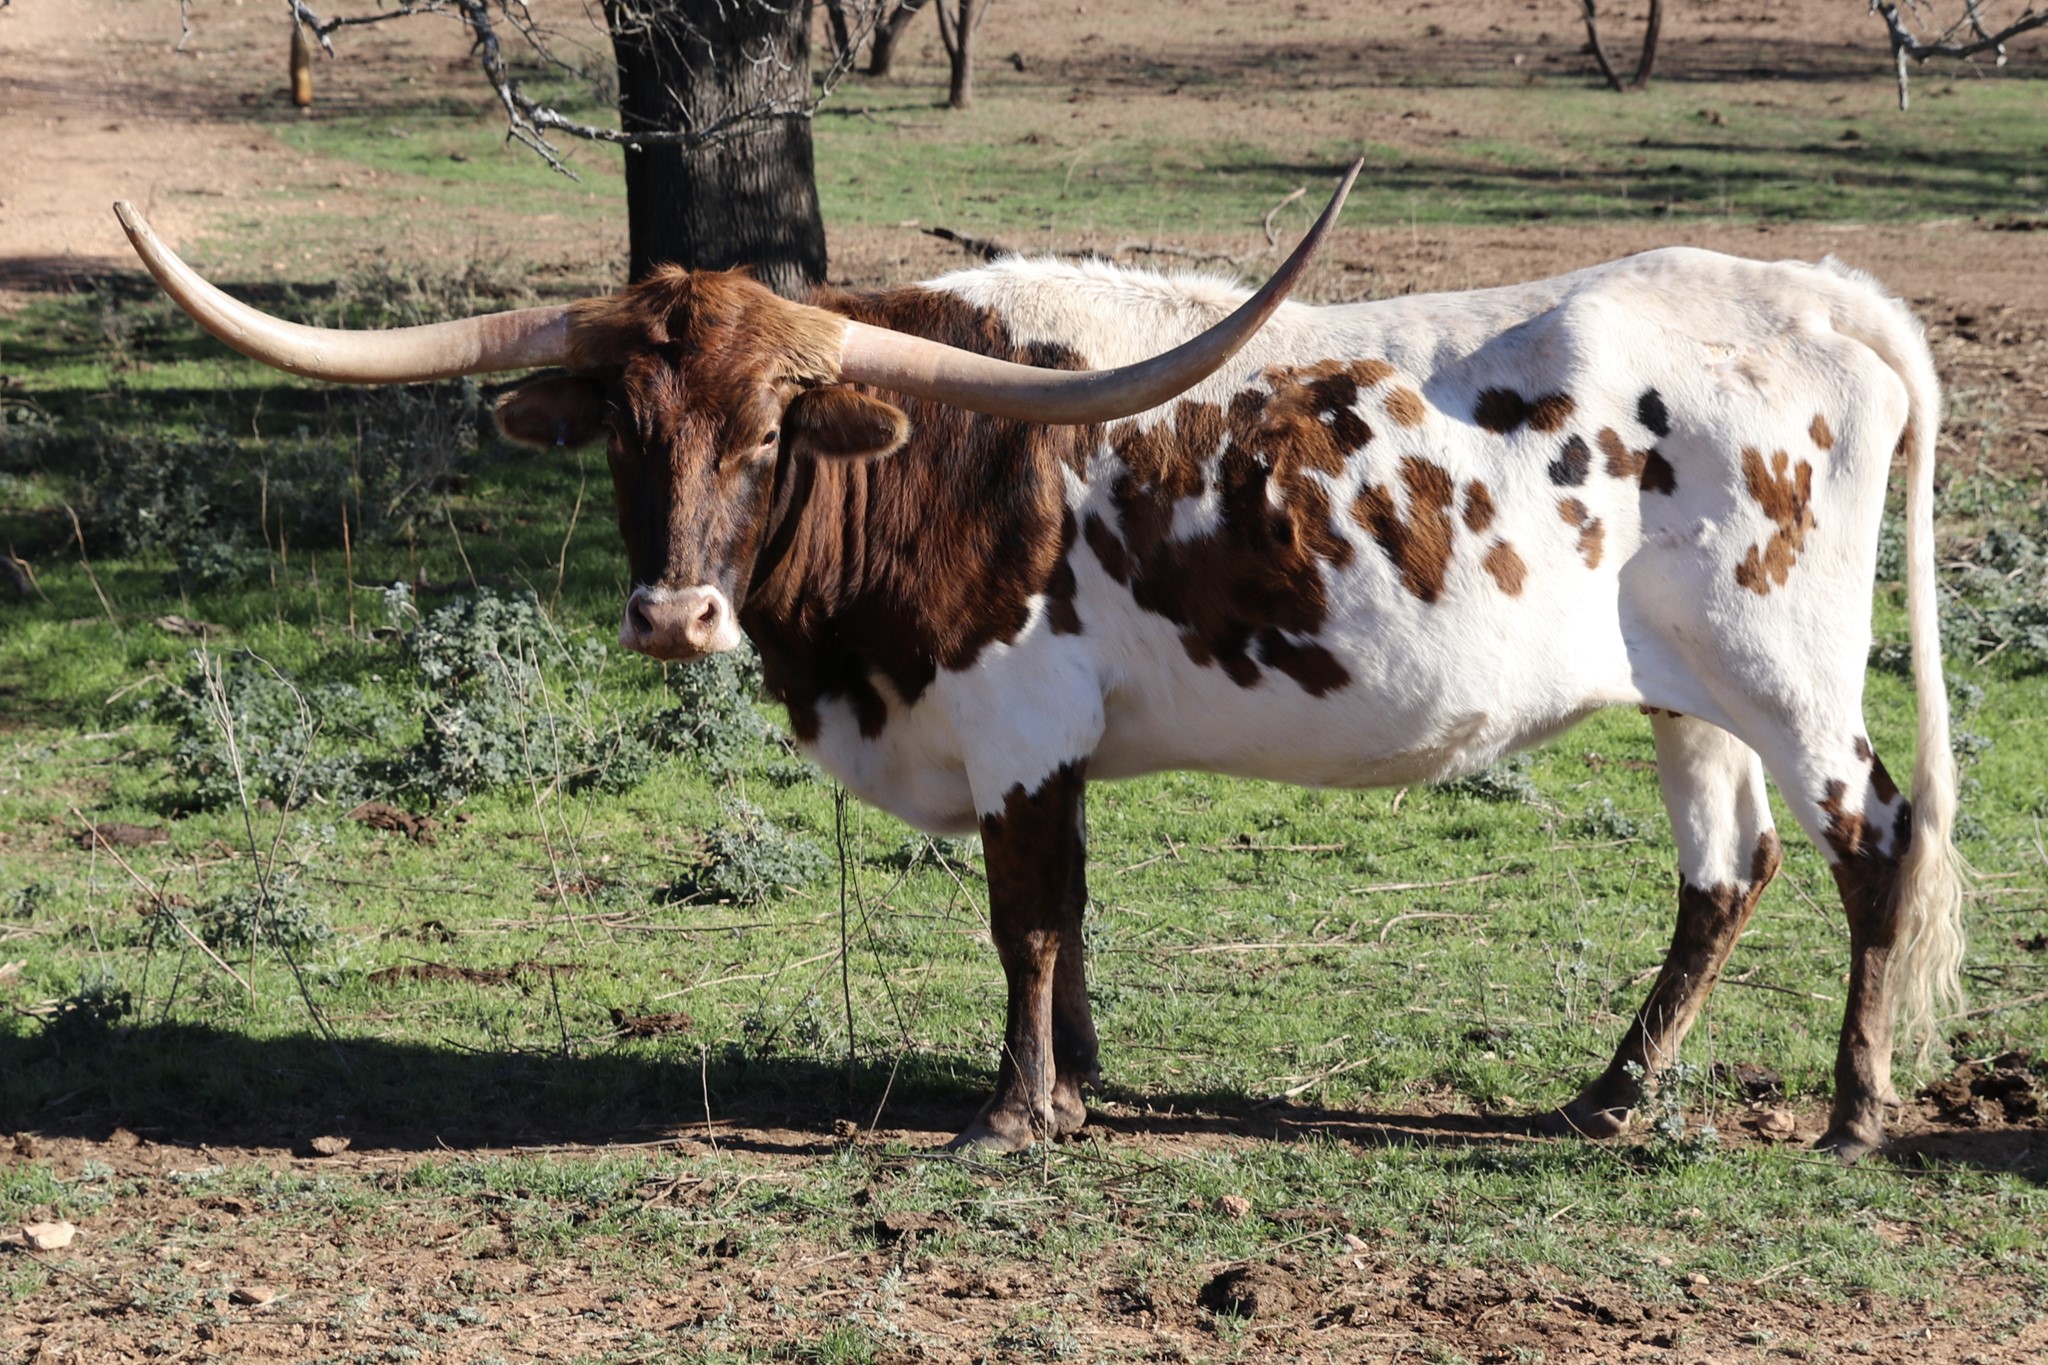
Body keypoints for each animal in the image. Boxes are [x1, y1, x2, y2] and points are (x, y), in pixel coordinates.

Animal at [115, 171, 1962, 1165]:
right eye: (628, 434)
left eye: (772, 429)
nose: (672, 617)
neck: (931, 454)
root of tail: (1822, 294)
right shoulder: (1047, 745)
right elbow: (1065, 915)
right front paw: (1079, 1084)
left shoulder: (1009, 720)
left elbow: (1022, 915)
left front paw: (1014, 1116)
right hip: (1686, 696)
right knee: (1724, 872)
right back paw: (1607, 1094)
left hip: (1786, 670)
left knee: (1874, 836)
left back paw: (1854, 1110)